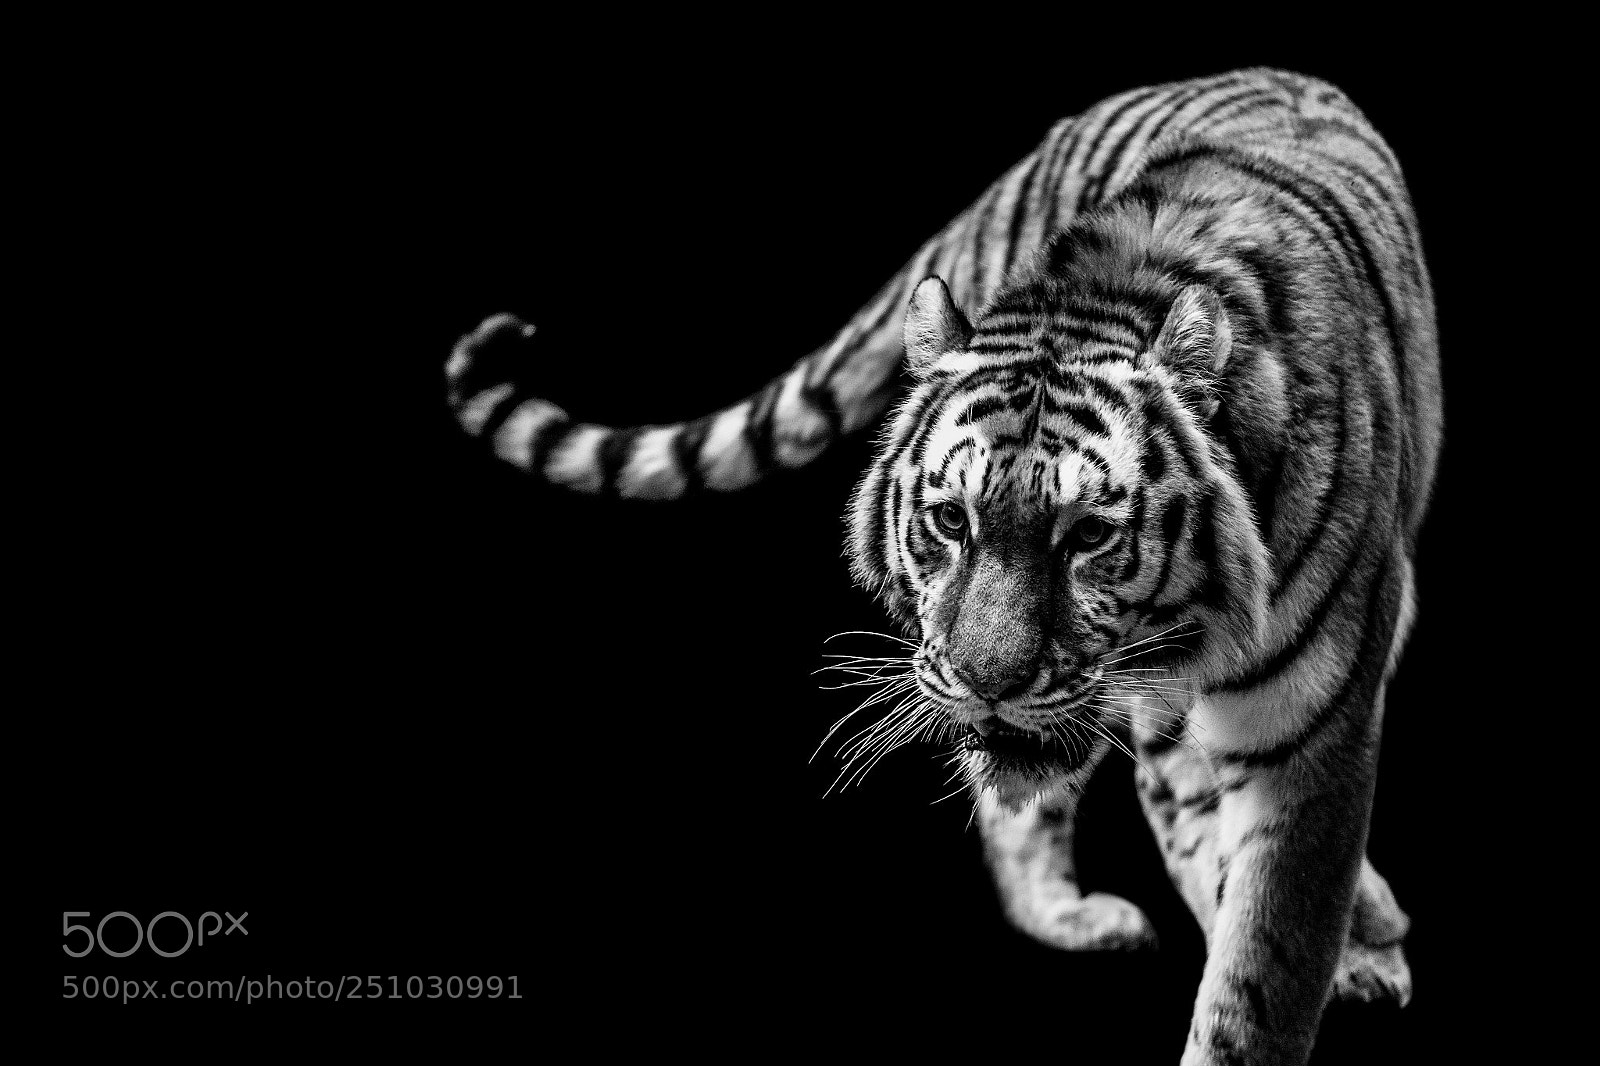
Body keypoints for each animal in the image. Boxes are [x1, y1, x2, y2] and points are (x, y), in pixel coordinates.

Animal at [445, 68, 1440, 1065]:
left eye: (1088, 536)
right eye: (950, 520)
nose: (985, 683)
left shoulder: (1310, 742)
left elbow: (1263, 971)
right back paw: (1078, 915)